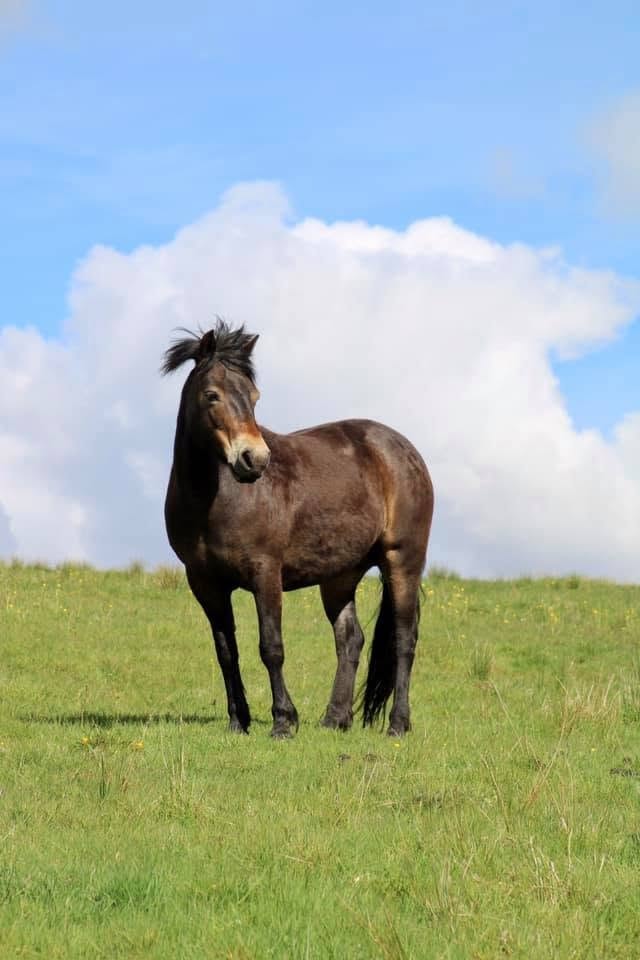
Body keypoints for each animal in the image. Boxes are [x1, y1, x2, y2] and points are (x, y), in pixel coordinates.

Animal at [162, 321, 434, 738]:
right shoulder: (205, 583)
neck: (214, 499)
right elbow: (226, 651)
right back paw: (335, 718)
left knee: (404, 639)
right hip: (340, 575)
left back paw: (398, 723)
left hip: (402, 560)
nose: (254, 459)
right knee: (350, 639)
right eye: (212, 395)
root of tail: (402, 449)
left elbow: (271, 647)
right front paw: (238, 721)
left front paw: (283, 721)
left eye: (254, 397)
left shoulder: (265, 573)